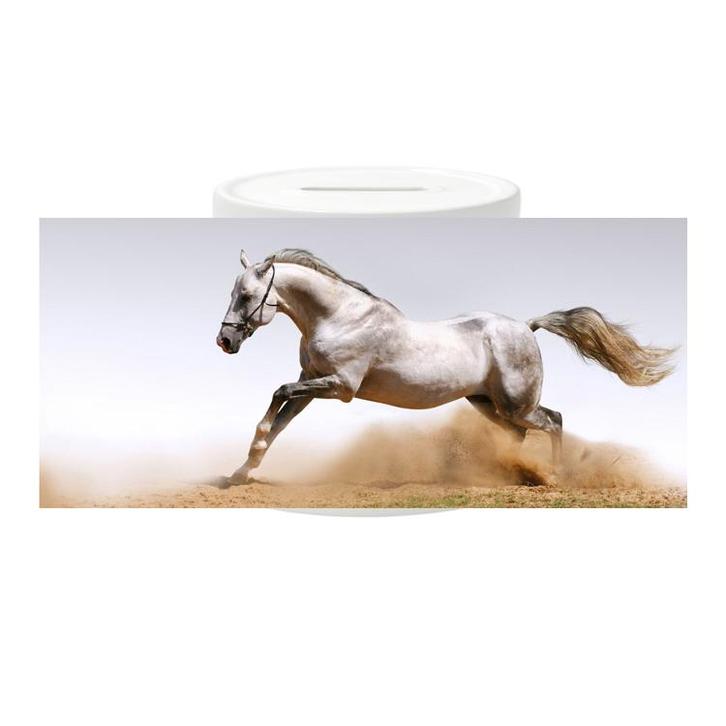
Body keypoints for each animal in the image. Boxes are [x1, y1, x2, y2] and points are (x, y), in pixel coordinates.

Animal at [216, 248, 675, 486]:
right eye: (234, 293)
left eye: (247, 296)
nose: (225, 341)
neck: (340, 316)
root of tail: (526, 327)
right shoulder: (311, 381)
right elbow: (279, 420)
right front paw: (240, 472)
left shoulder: (339, 386)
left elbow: (276, 396)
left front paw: (246, 461)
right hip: (486, 403)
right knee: (520, 434)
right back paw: (507, 473)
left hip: (517, 403)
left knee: (554, 420)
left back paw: (553, 476)